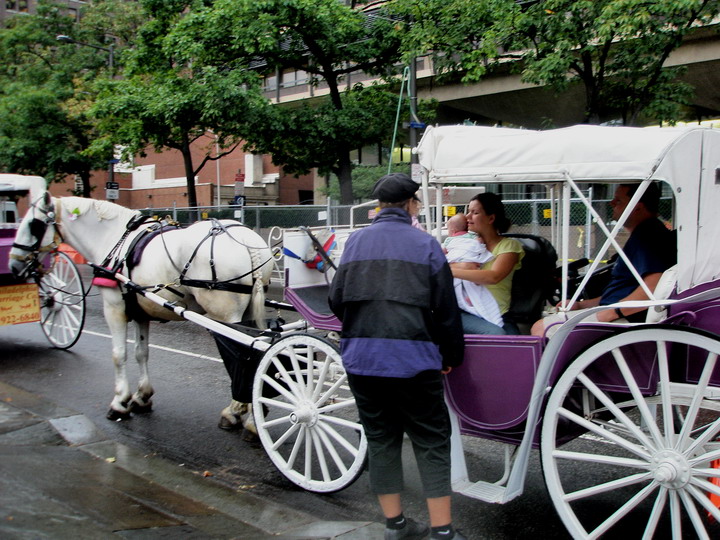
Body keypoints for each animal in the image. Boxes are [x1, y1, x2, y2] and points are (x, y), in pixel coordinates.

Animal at [8, 192, 272, 432]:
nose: (14, 264)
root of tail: (247, 240)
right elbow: (141, 353)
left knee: (243, 358)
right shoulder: (140, 312)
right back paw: (249, 415)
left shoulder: (113, 308)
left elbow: (119, 354)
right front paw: (142, 396)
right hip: (245, 314)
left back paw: (238, 414)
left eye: (33, 225)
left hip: (225, 317)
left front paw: (119, 402)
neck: (115, 239)